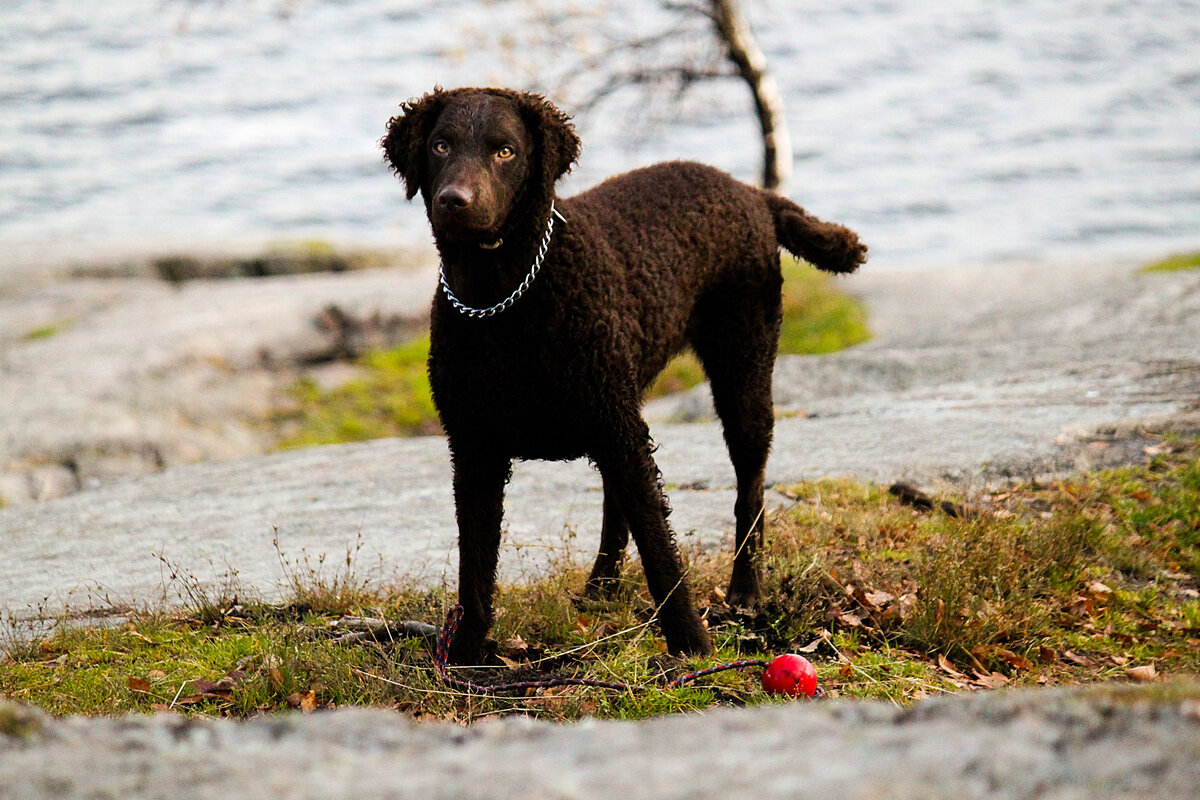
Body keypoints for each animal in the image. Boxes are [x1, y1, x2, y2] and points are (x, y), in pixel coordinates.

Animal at [384, 87, 864, 662]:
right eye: (440, 145)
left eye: (505, 151)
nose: (455, 200)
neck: (504, 300)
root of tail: (750, 191)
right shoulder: (475, 446)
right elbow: (475, 563)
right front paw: (465, 655)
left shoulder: (615, 428)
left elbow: (660, 550)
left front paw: (690, 644)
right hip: (625, 403)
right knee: (619, 500)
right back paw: (602, 585)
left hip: (740, 370)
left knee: (749, 486)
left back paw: (744, 590)